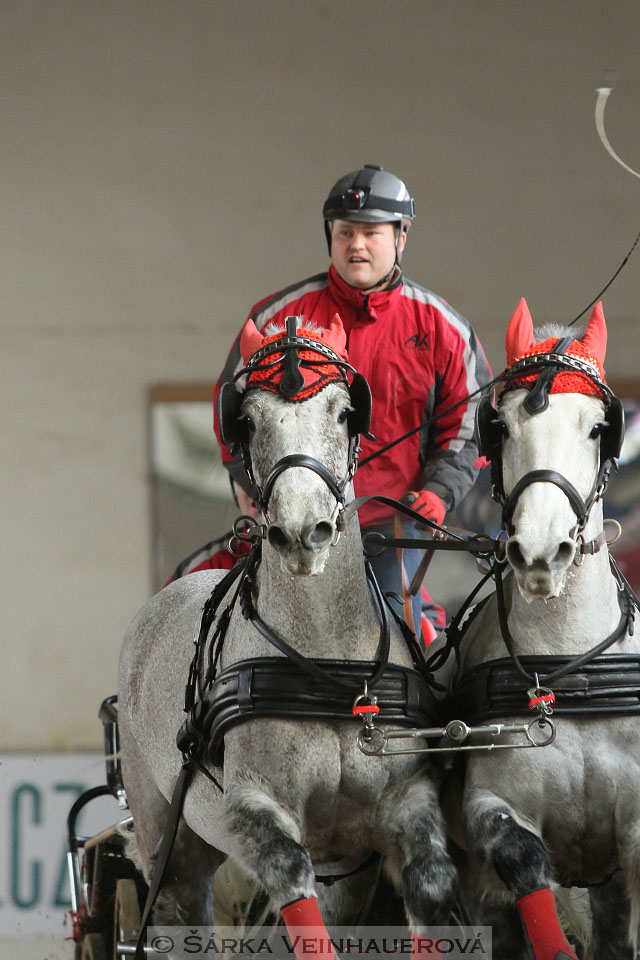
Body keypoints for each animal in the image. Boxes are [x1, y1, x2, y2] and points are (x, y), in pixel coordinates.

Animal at [117, 316, 458, 952]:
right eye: (248, 419)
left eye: (345, 412)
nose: (303, 532)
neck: (326, 664)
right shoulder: (256, 812)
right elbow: (295, 896)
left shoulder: (400, 808)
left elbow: (428, 890)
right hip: (168, 839)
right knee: (178, 910)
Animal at [450, 300, 640, 960]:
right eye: (502, 428)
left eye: (596, 428)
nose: (539, 552)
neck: (569, 668)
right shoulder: (490, 805)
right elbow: (523, 856)